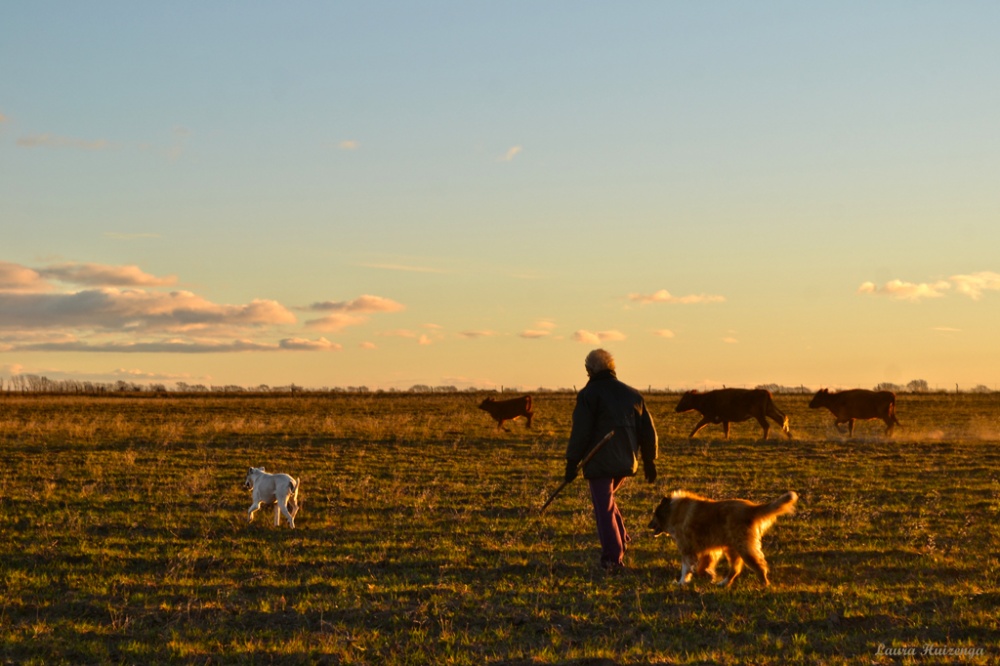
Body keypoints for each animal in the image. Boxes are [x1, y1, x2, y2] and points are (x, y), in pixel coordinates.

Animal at [648, 488, 796, 588]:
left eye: (654, 515)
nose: (648, 525)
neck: (672, 511)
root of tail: (751, 508)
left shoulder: (687, 549)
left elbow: (686, 569)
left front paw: (681, 582)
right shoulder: (709, 550)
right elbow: (702, 567)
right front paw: (709, 575)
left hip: (742, 547)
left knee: (758, 566)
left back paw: (764, 584)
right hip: (731, 548)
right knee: (736, 569)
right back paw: (723, 583)